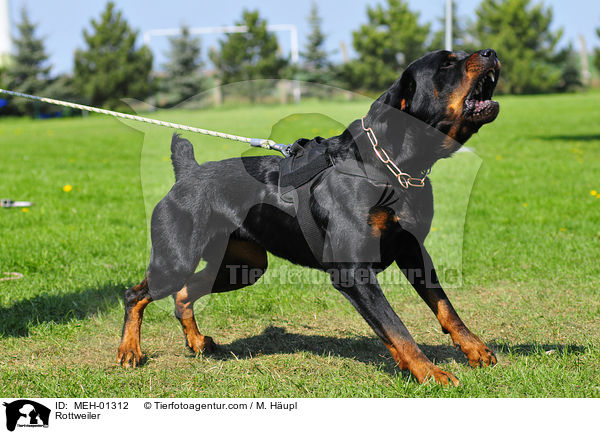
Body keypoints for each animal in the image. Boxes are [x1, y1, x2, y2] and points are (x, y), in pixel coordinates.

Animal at [117, 49, 502, 384]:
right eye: (446, 64)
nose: (490, 52)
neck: (390, 167)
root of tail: (187, 173)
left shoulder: (412, 251)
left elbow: (445, 307)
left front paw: (475, 349)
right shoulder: (353, 272)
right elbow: (396, 328)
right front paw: (431, 373)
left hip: (245, 267)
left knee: (183, 294)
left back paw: (197, 343)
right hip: (176, 259)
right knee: (136, 295)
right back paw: (129, 351)